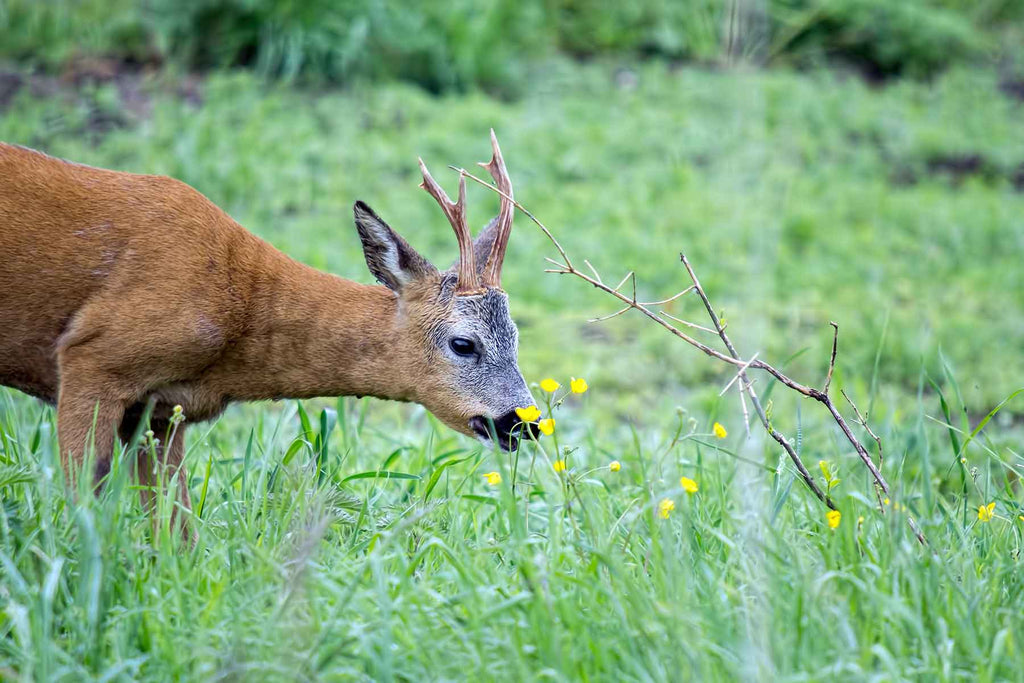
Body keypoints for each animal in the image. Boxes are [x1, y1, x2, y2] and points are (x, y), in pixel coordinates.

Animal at [0, 131, 540, 528]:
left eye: (517, 337)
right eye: (463, 343)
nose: (524, 421)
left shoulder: (160, 410)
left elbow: (176, 528)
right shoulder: (91, 357)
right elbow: (83, 505)